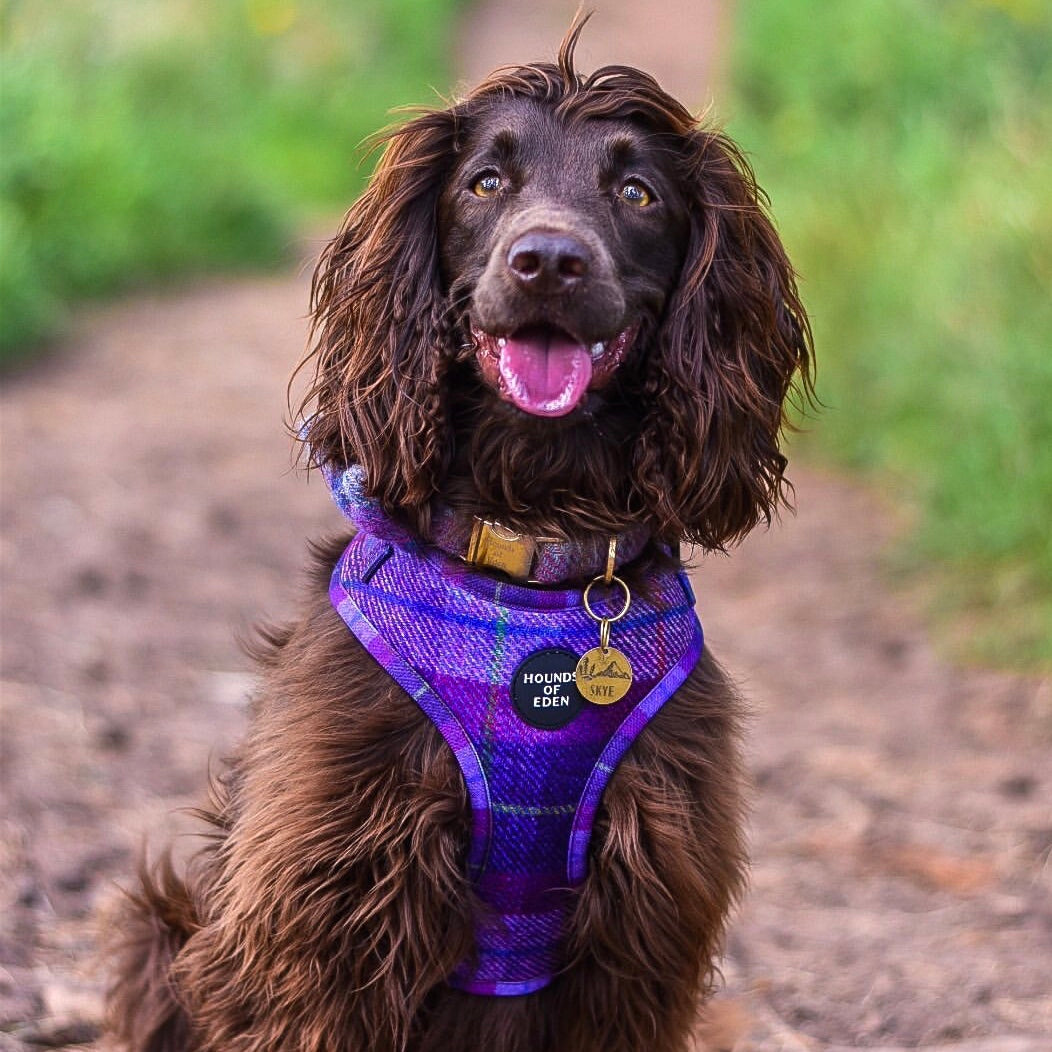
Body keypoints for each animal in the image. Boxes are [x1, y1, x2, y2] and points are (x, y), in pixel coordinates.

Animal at [106, 24, 807, 1052]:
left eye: (637, 193)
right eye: (486, 183)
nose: (548, 260)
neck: (534, 546)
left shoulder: (642, 928)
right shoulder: (323, 912)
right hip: (161, 921)